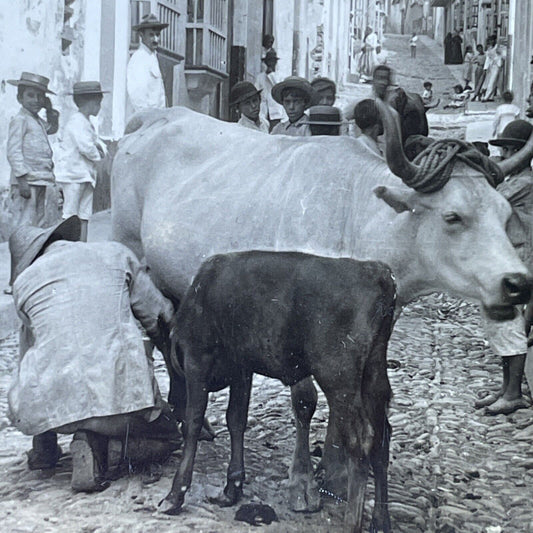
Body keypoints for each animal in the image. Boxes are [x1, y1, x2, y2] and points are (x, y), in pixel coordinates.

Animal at [162, 250, 394, 532]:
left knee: (360, 441)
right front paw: (232, 489)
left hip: (339, 379)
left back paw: (352, 524)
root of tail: (375, 271)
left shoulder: (198, 359)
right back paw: (381, 521)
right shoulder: (242, 368)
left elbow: (193, 423)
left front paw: (175, 495)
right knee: (382, 439)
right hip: (373, 377)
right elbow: (236, 420)